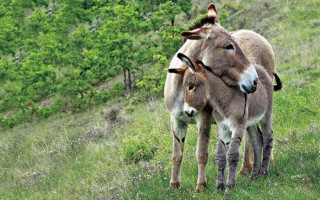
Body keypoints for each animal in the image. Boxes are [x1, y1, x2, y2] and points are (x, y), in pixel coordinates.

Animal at [170, 52, 276, 195]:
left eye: (191, 87)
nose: (187, 111)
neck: (225, 101)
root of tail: (259, 67)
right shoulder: (223, 128)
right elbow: (220, 157)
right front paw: (218, 188)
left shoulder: (238, 127)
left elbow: (232, 156)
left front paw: (229, 189)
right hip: (250, 123)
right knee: (257, 140)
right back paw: (255, 175)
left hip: (266, 115)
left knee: (268, 137)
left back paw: (264, 172)